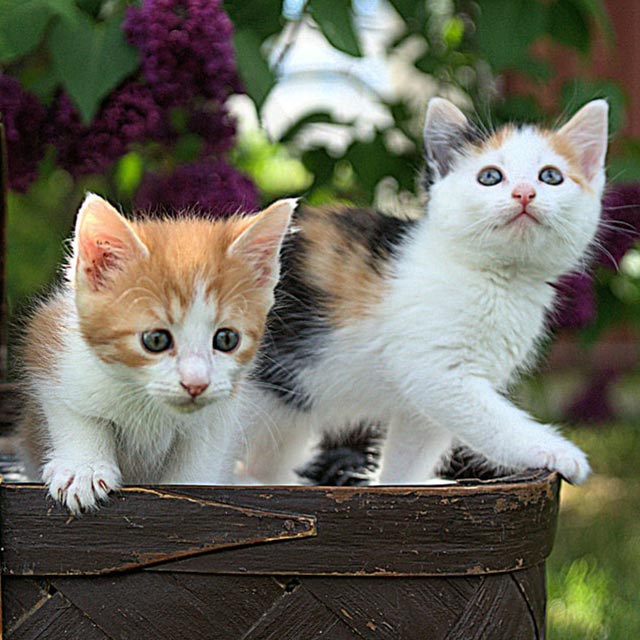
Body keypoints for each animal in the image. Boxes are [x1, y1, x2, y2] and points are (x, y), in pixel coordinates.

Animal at [18, 192, 296, 512]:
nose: (196, 384)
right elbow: (75, 412)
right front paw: (84, 468)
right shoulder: (53, 345)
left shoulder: (222, 409)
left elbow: (204, 450)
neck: (148, 404)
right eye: (156, 340)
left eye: (227, 339)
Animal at [238, 95, 608, 484]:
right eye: (490, 177)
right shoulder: (436, 371)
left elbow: (411, 452)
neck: (497, 278)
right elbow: (494, 422)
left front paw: (397, 486)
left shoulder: (424, 402)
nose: (525, 193)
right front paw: (556, 451)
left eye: (551, 176)